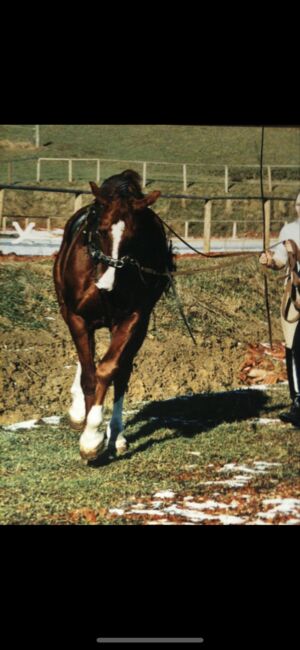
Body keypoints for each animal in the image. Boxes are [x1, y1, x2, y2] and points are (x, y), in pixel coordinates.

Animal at [52, 170, 172, 458]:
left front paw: (93, 436)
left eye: (134, 236)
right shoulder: (76, 317)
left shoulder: (134, 319)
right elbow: (89, 375)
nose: (106, 284)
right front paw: (84, 420)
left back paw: (115, 434)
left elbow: (107, 371)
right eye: (102, 230)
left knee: (121, 371)